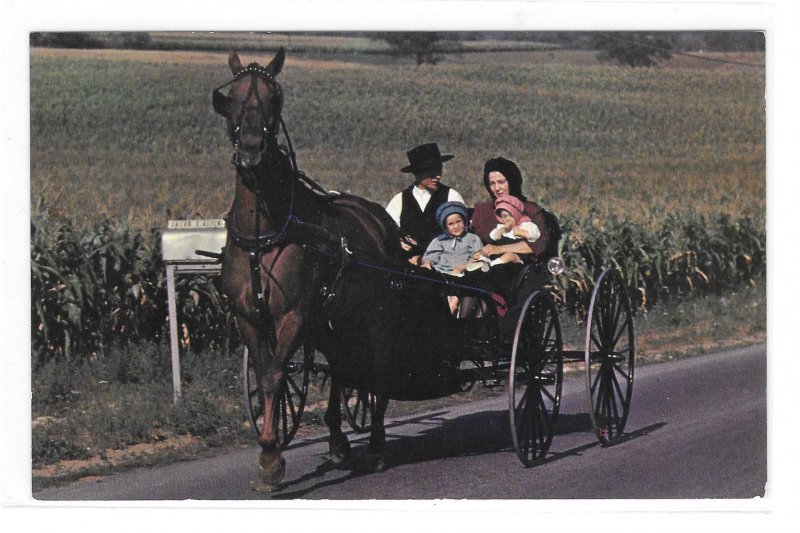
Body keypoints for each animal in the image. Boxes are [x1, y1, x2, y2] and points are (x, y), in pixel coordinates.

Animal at [211, 47, 456, 488]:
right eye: (233, 97)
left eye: (275, 98)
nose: (252, 149)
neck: (266, 231)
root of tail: (379, 220)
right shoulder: (248, 318)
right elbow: (267, 374)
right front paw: (271, 451)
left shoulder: (293, 315)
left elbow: (275, 375)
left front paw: (271, 459)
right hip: (336, 321)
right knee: (343, 368)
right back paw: (339, 441)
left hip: (375, 319)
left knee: (378, 372)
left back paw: (374, 445)